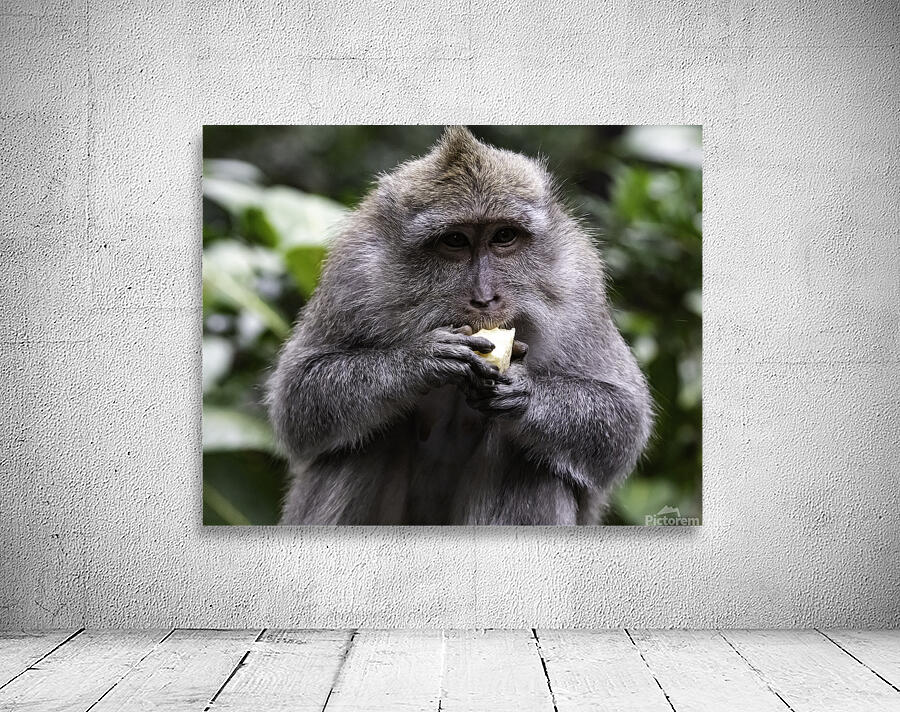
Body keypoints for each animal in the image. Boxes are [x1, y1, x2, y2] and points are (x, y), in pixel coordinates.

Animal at [266, 126, 652, 525]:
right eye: (455, 240)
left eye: (503, 236)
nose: (484, 298)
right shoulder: (353, 272)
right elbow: (297, 398)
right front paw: (417, 363)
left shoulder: (577, 282)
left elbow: (624, 418)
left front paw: (524, 394)